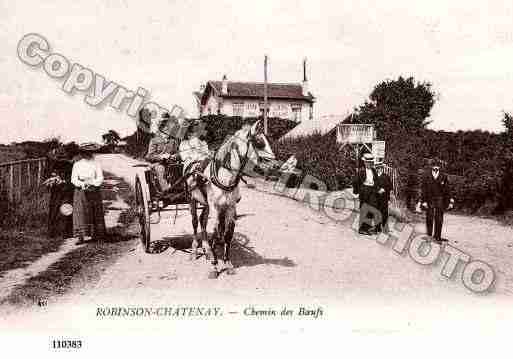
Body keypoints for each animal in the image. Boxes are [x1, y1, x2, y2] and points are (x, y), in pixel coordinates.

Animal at [185, 120, 264, 278]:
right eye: (259, 143)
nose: (263, 167)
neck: (225, 178)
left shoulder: (230, 207)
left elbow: (227, 233)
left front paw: (227, 264)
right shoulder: (216, 208)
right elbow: (216, 233)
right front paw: (214, 266)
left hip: (206, 204)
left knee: (203, 221)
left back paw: (207, 249)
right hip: (192, 200)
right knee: (195, 222)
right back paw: (195, 250)